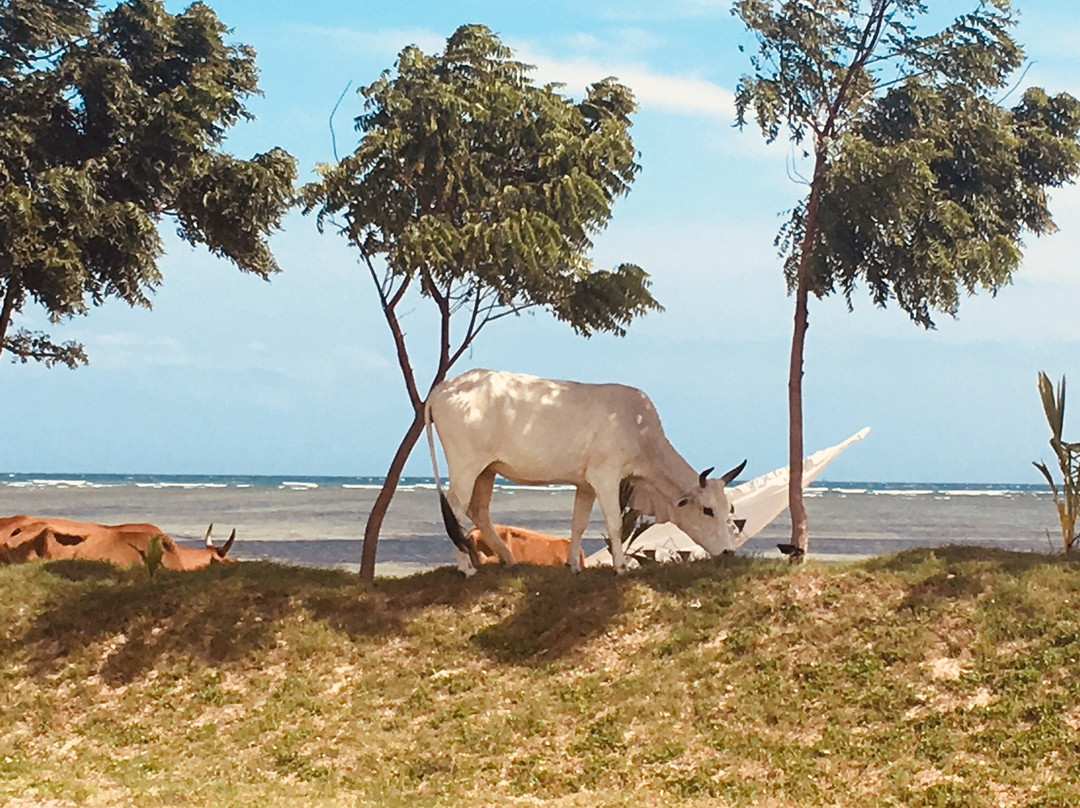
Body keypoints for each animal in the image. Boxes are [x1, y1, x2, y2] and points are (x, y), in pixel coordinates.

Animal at [424, 369, 746, 576]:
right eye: (707, 510)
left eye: (729, 508)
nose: (728, 552)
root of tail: (440, 390)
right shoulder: (606, 478)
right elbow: (614, 523)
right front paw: (620, 567)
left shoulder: (586, 484)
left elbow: (578, 523)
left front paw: (574, 566)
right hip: (466, 467)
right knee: (455, 511)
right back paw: (467, 568)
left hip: (487, 471)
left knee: (479, 511)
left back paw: (509, 559)